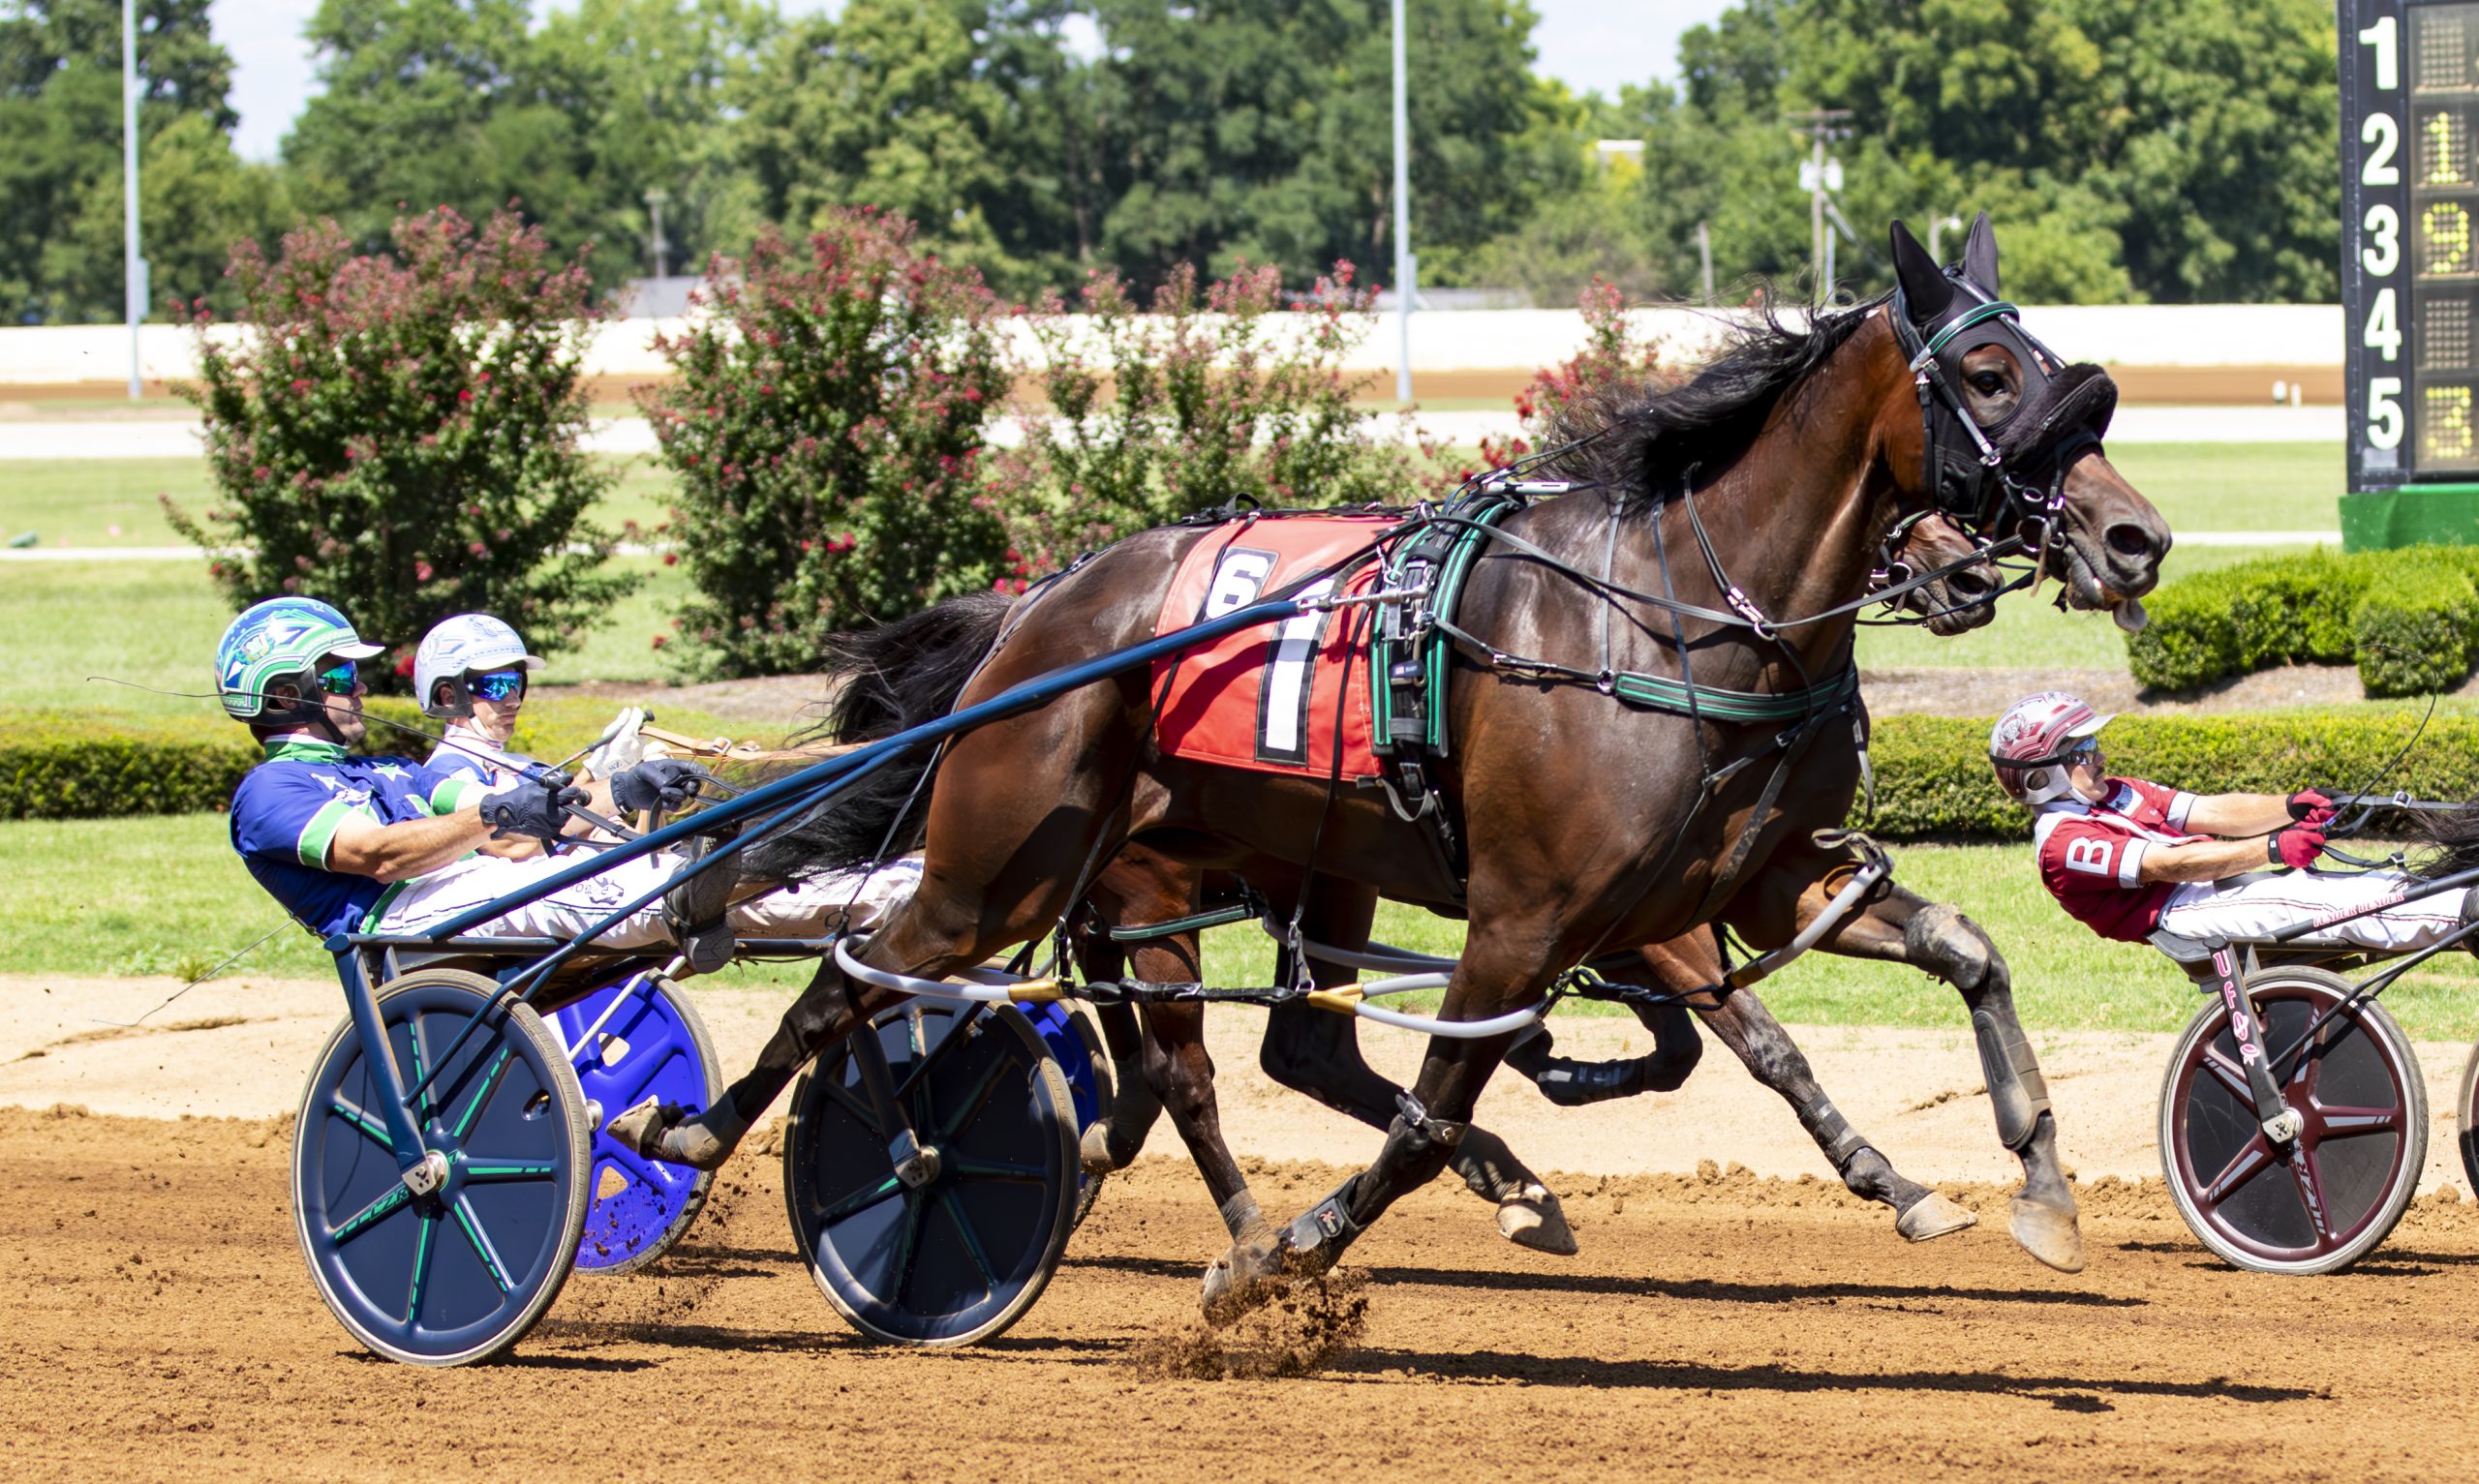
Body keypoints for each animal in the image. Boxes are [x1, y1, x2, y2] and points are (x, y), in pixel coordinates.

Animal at [621, 215, 2170, 1313]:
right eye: (1988, 375)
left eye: (2054, 365)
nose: (2135, 537)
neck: (1672, 611)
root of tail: (1042, 606)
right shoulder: (1536, 915)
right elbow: (1445, 1113)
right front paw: (1290, 1254)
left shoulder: (1753, 882)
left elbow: (1960, 954)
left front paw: (2034, 1192)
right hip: (1014, 859)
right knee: (870, 979)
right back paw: (720, 1138)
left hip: (1247, 868)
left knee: (1249, 1051)